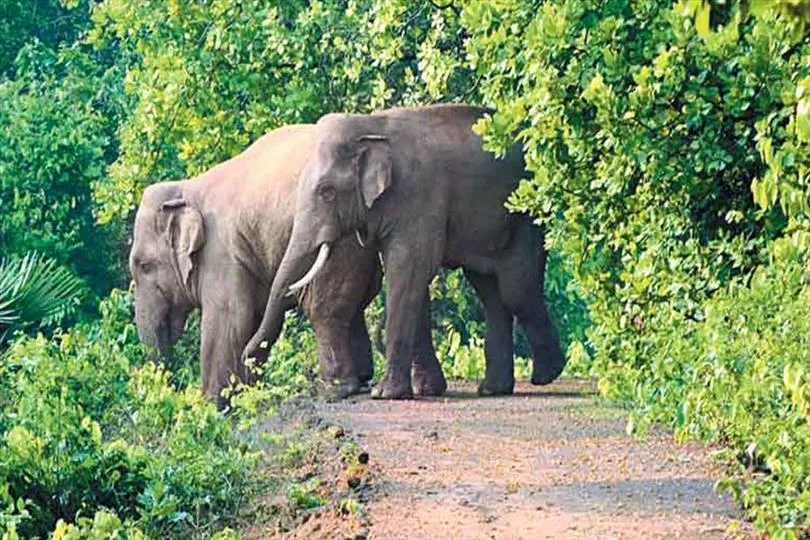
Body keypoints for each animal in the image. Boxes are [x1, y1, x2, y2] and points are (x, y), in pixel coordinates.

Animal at [129, 125, 388, 404]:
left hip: (337, 239)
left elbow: (230, 318)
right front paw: (245, 394)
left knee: (323, 309)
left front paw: (212, 404)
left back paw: (337, 389)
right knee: (356, 303)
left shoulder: (221, 253)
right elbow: (253, 316)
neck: (188, 187)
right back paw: (362, 380)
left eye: (144, 265)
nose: (171, 389)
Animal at [243, 104, 564, 400]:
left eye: (327, 192)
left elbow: (408, 272)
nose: (247, 357)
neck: (371, 126)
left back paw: (546, 376)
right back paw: (493, 389)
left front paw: (384, 394)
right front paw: (427, 390)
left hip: (526, 215)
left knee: (515, 289)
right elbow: (411, 280)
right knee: (490, 290)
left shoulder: (417, 196)